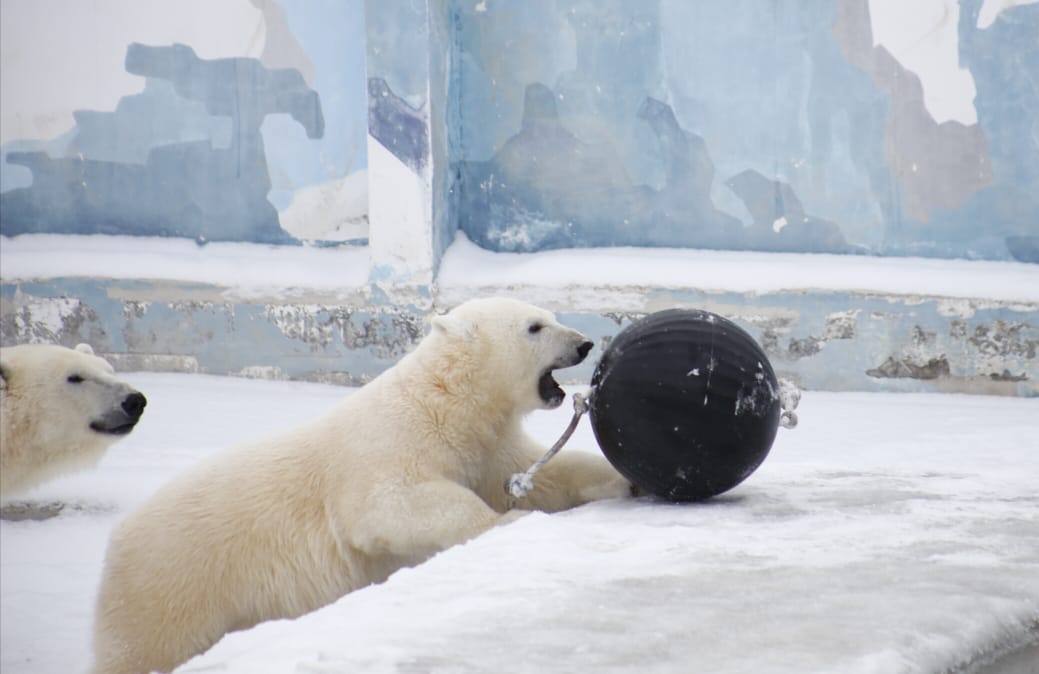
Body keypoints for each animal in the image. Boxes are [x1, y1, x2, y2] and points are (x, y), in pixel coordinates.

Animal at [95, 299, 631, 672]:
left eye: (548, 316)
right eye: (535, 326)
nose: (584, 343)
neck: (447, 403)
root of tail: (117, 542)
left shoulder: (486, 445)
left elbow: (538, 474)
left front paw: (617, 480)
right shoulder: (391, 444)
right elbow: (389, 506)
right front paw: (509, 520)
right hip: (173, 585)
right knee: (143, 648)